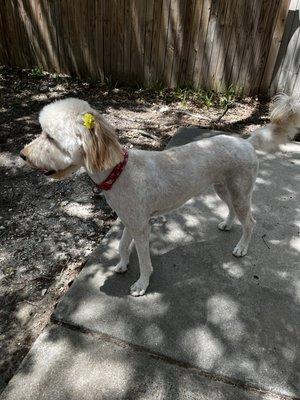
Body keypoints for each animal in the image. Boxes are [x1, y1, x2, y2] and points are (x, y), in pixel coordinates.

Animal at [19, 93, 298, 294]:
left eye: (50, 137)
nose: (22, 155)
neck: (118, 171)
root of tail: (247, 142)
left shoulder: (141, 227)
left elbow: (144, 260)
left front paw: (142, 284)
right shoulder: (129, 220)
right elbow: (121, 245)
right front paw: (122, 264)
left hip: (241, 191)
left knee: (250, 222)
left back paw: (241, 247)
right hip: (222, 187)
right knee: (230, 209)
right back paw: (228, 224)